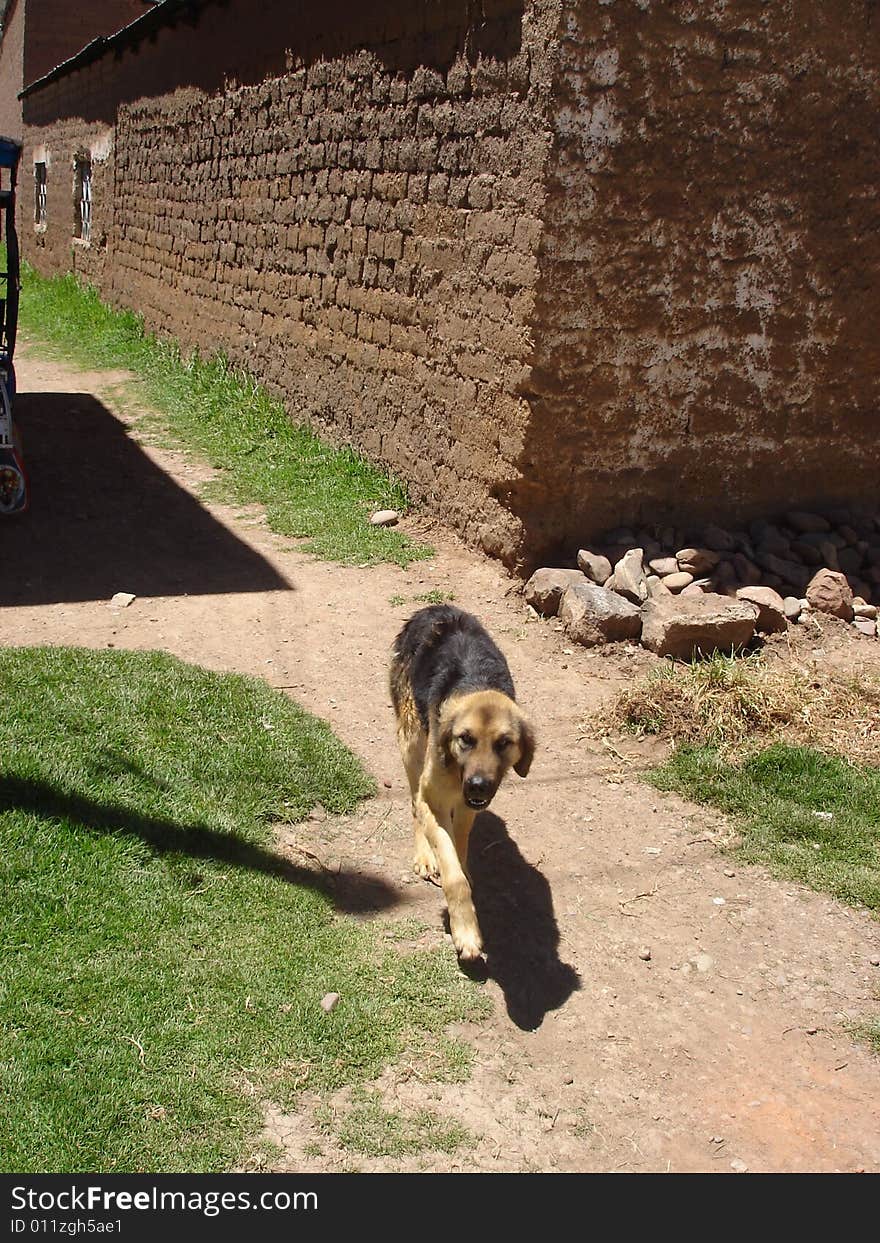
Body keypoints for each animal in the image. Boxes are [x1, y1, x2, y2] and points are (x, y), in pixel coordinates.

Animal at [392, 606, 536, 954]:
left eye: (503, 743)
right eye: (465, 739)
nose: (478, 785)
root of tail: (434, 607)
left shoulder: (470, 804)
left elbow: (460, 844)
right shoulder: (435, 799)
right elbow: (453, 876)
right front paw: (466, 931)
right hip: (412, 743)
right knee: (414, 802)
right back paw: (424, 855)